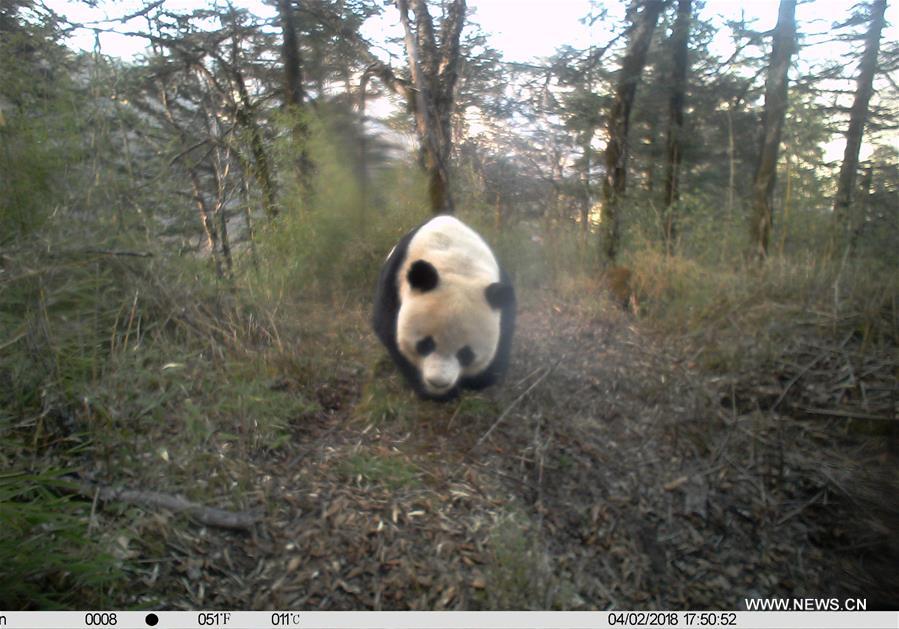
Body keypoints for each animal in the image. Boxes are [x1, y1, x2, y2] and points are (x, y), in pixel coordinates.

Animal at [370, 216, 512, 400]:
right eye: (425, 344)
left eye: (466, 354)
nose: (438, 383)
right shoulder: (394, 281)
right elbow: (389, 332)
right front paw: (431, 392)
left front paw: (478, 381)